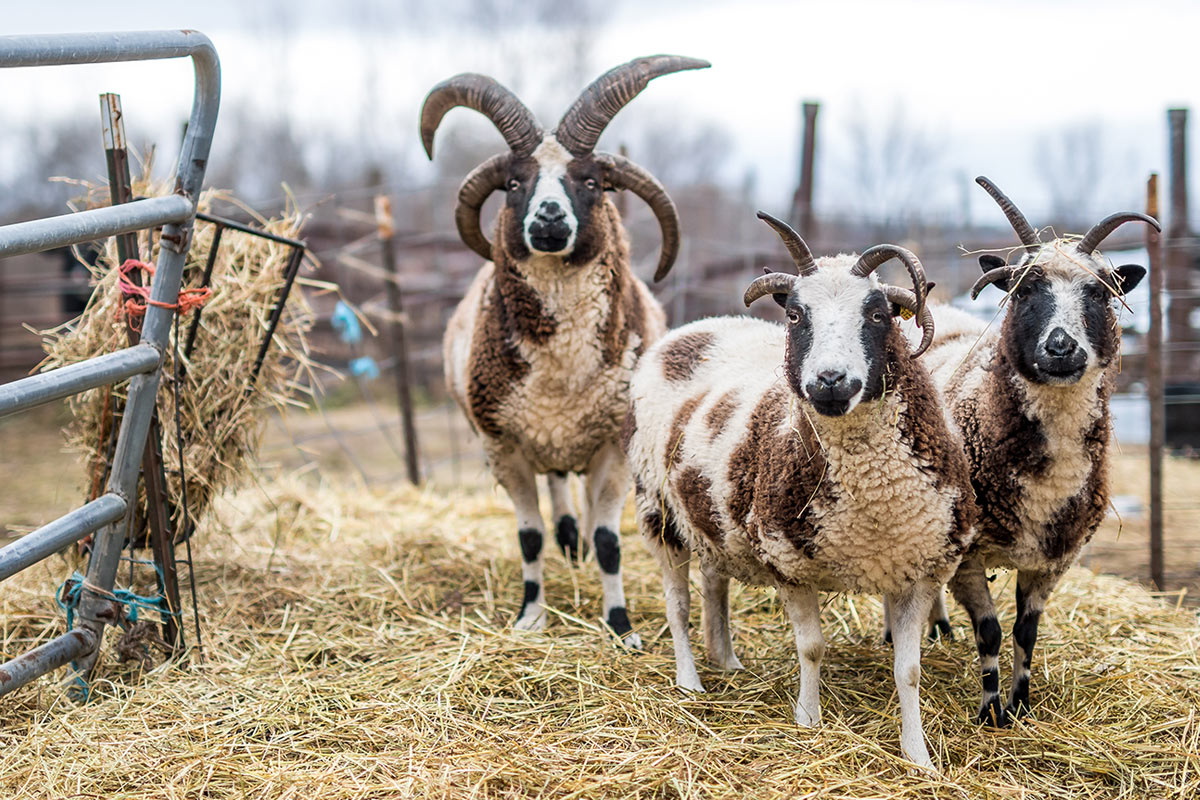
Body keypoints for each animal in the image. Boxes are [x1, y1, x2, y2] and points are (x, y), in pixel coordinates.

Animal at [422, 55, 709, 644]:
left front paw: (621, 627)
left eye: (592, 181)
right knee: (556, 492)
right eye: (514, 182)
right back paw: (566, 538)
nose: (548, 219)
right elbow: (529, 538)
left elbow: (609, 542)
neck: (562, 377)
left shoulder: (614, 448)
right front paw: (529, 617)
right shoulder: (503, 446)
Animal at [624, 212, 977, 769]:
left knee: (713, 583)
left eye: (878, 313)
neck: (874, 502)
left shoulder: (919, 568)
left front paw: (917, 754)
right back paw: (690, 681)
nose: (830, 381)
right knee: (677, 606)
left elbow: (909, 670)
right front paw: (808, 721)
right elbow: (811, 648)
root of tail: (693, 328)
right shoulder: (787, 560)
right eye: (794, 314)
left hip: (711, 515)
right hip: (656, 511)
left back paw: (726, 660)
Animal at [909, 176, 1159, 727]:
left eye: (1099, 291)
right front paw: (990, 712)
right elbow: (990, 632)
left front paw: (1021, 704)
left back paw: (937, 629)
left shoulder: (1053, 558)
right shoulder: (970, 556)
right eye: (1024, 289)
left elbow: (1026, 631)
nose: (1062, 348)